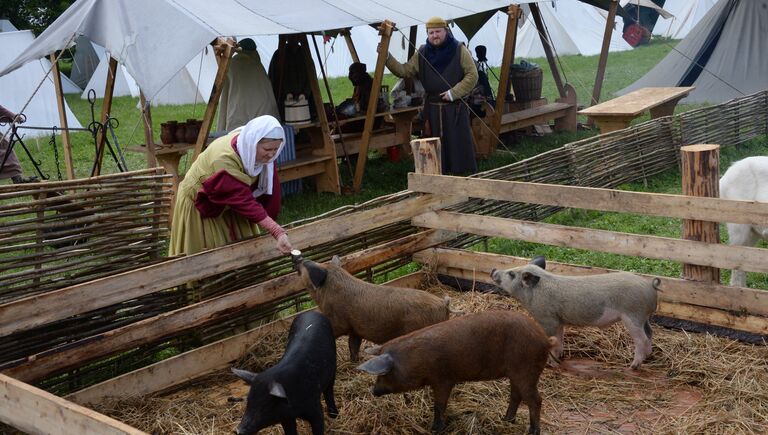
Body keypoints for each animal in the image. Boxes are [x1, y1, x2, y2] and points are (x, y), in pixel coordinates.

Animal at [296, 258, 456, 362]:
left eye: (308, 267)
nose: (300, 259)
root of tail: (443, 303)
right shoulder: (355, 329)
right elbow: (353, 345)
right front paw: (356, 361)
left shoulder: (338, 321)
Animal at [356, 312, 556, 434]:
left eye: (384, 374)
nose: (374, 391)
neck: (414, 361)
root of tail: (545, 339)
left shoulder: (443, 380)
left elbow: (439, 405)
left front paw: (435, 429)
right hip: (516, 373)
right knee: (516, 395)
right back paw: (506, 419)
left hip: (526, 371)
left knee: (536, 400)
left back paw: (532, 431)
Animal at [492, 258, 660, 370]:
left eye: (511, 274)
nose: (493, 270)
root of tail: (649, 286)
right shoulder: (558, 321)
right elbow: (559, 339)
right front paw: (559, 358)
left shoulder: (548, 320)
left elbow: (551, 340)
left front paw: (550, 365)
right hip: (643, 317)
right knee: (650, 333)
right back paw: (648, 356)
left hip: (633, 316)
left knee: (641, 339)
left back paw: (633, 366)